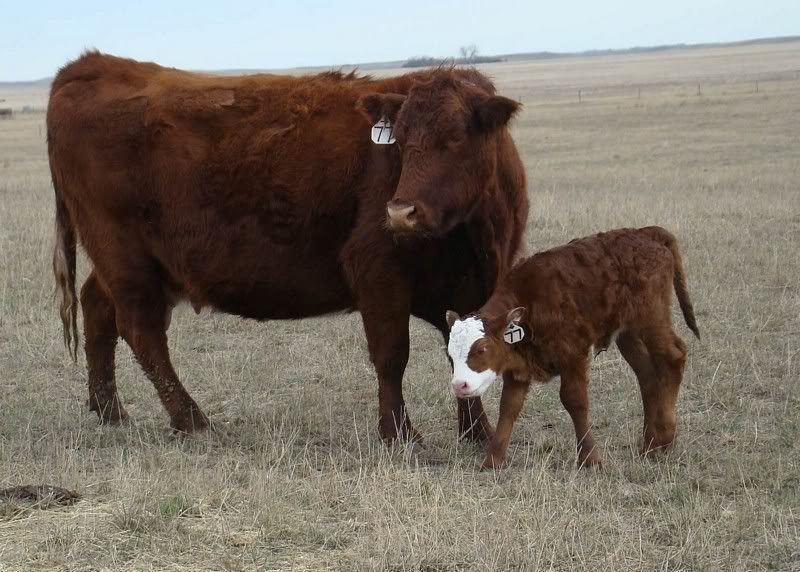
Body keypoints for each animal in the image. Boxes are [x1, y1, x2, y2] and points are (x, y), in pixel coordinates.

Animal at [47, 52, 528, 442]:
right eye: (403, 140)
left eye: (455, 138)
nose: (399, 213)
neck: (471, 236)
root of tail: (93, 65)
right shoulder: (378, 273)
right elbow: (392, 356)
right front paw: (400, 435)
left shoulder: (465, 289)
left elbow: (464, 350)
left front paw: (477, 432)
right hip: (124, 259)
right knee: (142, 332)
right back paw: (191, 420)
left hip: (131, 264)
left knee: (97, 309)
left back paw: (110, 412)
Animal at [445, 227, 699, 469]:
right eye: (451, 353)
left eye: (482, 349)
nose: (459, 385)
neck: (529, 303)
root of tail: (647, 232)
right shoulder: (518, 367)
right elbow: (508, 408)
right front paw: (493, 460)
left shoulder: (572, 355)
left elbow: (574, 401)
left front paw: (589, 458)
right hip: (628, 334)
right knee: (647, 375)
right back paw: (650, 443)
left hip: (651, 318)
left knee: (673, 357)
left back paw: (664, 436)